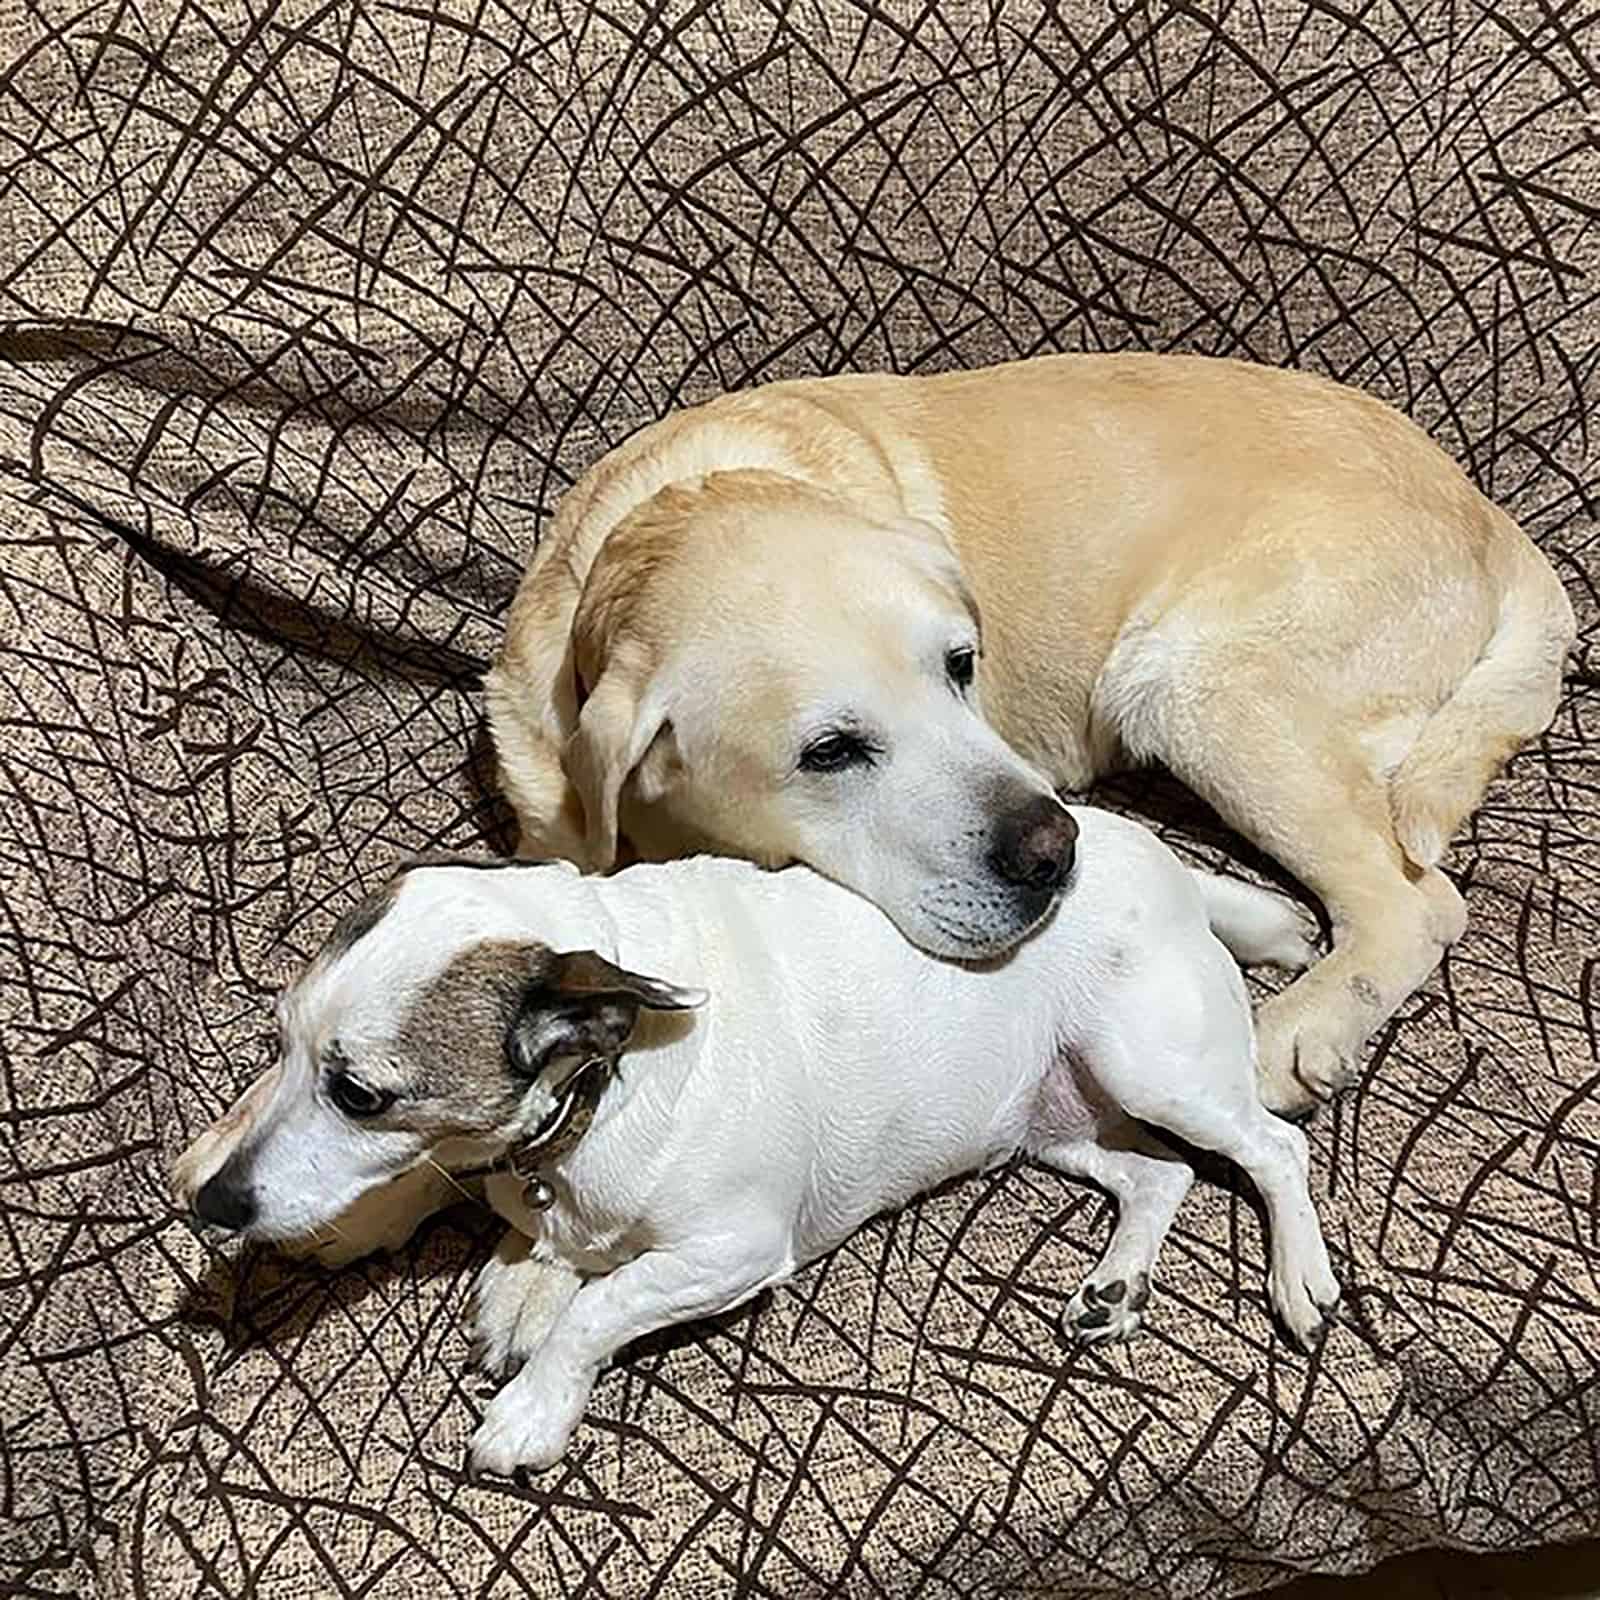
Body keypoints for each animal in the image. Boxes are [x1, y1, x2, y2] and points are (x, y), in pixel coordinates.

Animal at [172, 812, 1337, 1472]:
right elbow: (446, 1191)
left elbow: (595, 1309)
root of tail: (1160, 857)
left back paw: (1303, 1278)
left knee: (1271, 1149)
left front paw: (533, 1409)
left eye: (361, 1094)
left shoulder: (729, 1251)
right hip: (1048, 1121)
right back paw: (1114, 1286)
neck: (603, 1082)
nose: (206, 1201)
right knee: (1159, 1173)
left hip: (1153, 1065)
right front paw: (356, 1227)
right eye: (276, 1042)